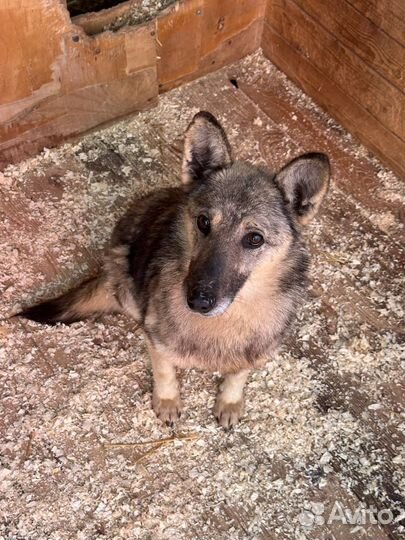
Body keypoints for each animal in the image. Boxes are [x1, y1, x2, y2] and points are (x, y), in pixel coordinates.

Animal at [21, 113, 328, 426]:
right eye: (204, 222)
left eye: (255, 238)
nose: (198, 302)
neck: (226, 320)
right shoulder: (157, 340)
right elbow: (165, 372)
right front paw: (167, 400)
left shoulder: (256, 350)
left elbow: (238, 375)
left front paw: (229, 401)